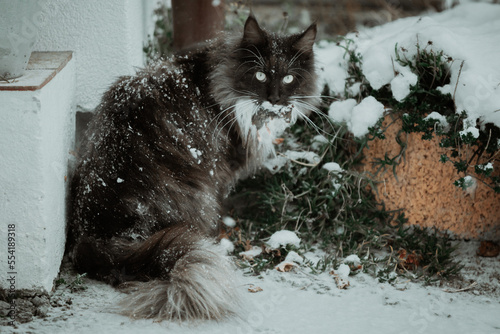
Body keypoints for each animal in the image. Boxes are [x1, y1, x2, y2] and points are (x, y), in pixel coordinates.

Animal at [68, 15, 318, 320]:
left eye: (289, 78)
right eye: (260, 75)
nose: (275, 98)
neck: (217, 81)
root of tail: (95, 237)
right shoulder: (220, 172)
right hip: (199, 194)